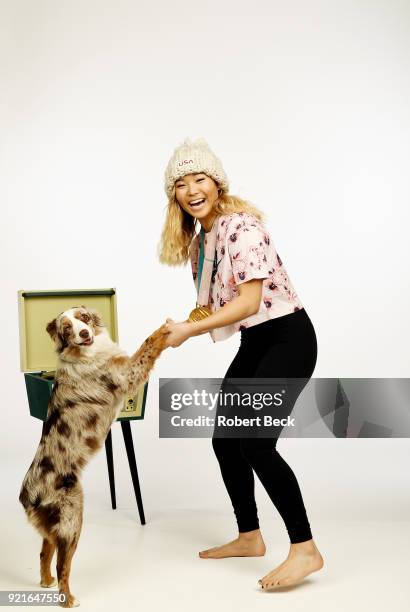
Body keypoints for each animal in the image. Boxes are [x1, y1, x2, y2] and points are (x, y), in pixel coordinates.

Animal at [18, 308, 169, 604]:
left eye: (83, 318)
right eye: (67, 328)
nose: (85, 333)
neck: (87, 352)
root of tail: (27, 495)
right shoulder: (127, 373)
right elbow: (147, 344)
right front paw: (164, 330)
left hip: (54, 528)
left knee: (44, 552)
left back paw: (45, 582)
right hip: (72, 520)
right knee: (62, 565)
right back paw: (68, 599)